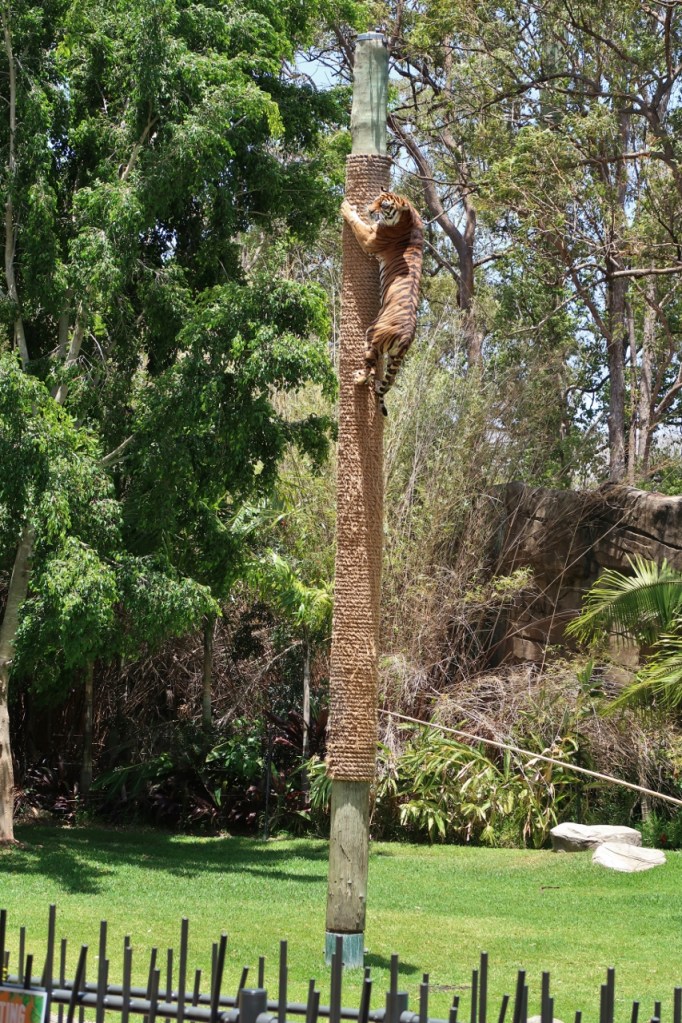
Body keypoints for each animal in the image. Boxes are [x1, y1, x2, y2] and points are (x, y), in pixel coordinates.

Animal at [341, 191, 423, 416]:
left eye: (384, 205)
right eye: (376, 199)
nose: (370, 210)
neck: (409, 216)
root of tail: (407, 336)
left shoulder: (370, 239)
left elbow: (356, 222)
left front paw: (346, 207)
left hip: (372, 335)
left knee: (370, 366)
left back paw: (359, 378)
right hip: (396, 359)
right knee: (389, 382)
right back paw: (378, 385)